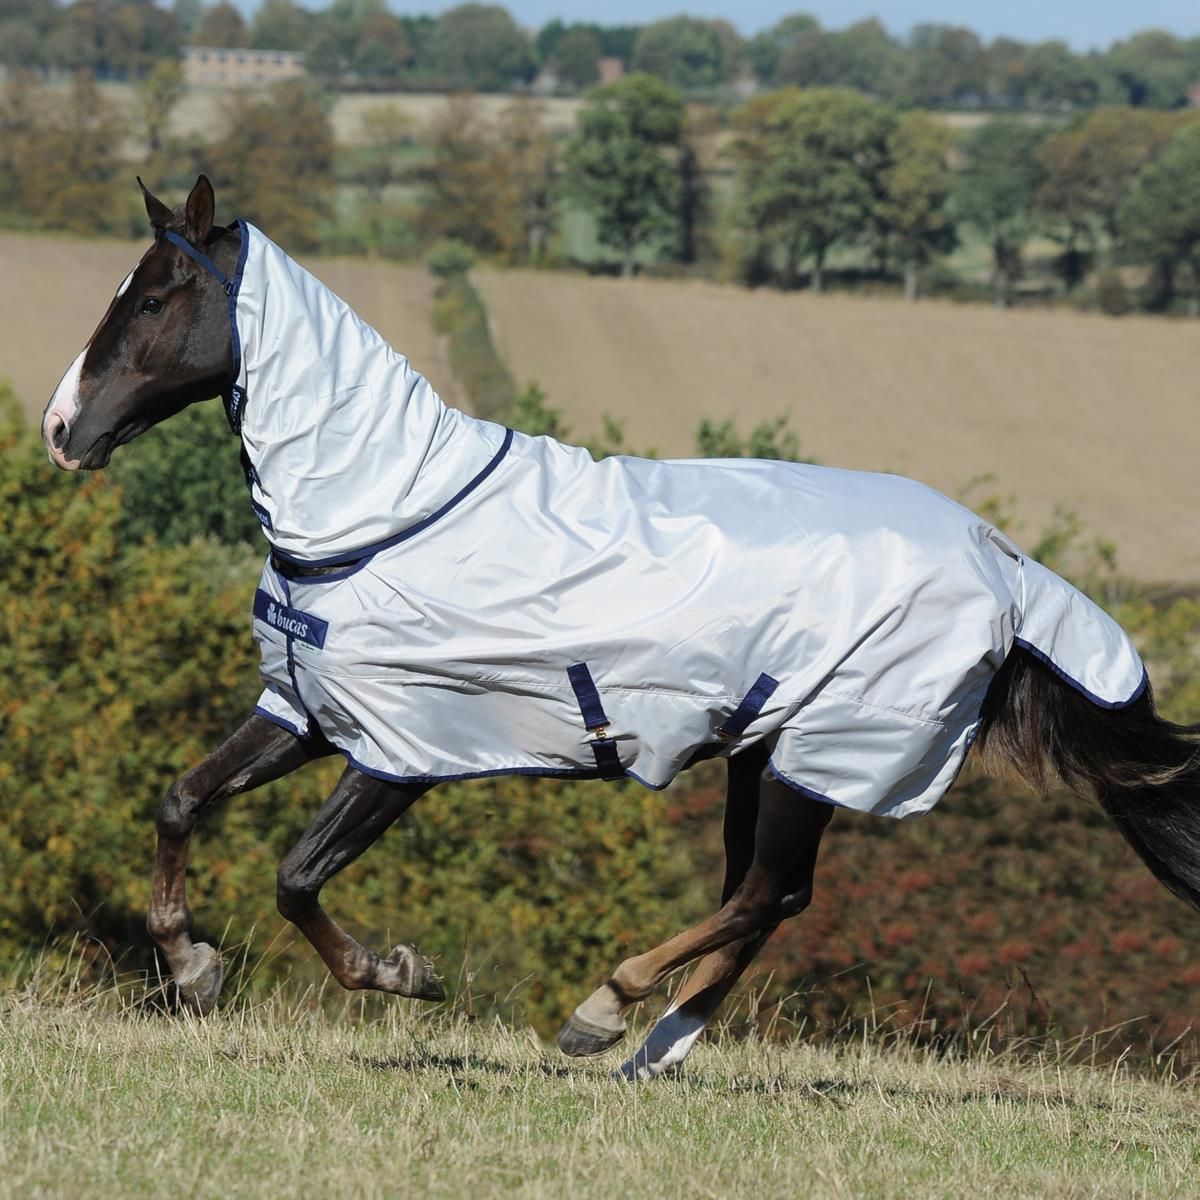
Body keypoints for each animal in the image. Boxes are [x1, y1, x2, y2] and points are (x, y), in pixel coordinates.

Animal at [42, 176, 1200, 1081]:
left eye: (156, 295)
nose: (61, 428)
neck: (383, 514)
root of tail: (1001, 564)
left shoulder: (401, 752)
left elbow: (294, 878)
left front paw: (399, 973)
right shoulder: (308, 713)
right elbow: (180, 801)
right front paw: (193, 968)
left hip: (824, 756)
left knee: (763, 892)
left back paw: (602, 1009)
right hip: (769, 751)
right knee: (772, 898)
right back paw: (653, 1047)